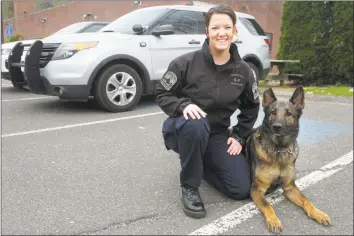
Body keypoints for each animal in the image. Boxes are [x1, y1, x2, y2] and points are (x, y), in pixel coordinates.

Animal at [245, 85, 330, 233]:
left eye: (289, 114)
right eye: (273, 112)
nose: (277, 127)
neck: (279, 150)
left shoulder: (290, 188)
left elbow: (306, 200)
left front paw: (318, 213)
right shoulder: (256, 189)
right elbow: (267, 205)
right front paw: (273, 220)